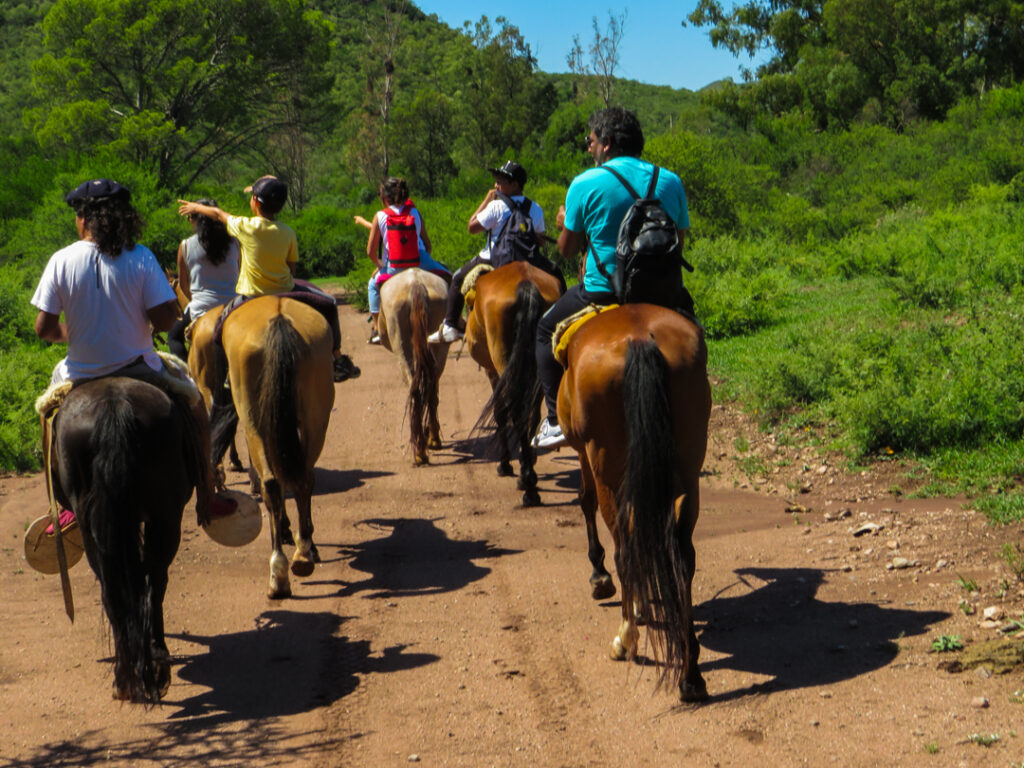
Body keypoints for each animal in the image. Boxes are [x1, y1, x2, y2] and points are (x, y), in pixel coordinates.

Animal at [50, 378, 196, 704]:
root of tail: (113, 407)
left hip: (97, 524)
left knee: (118, 589)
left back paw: (129, 676)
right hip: (163, 515)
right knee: (150, 582)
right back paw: (152, 666)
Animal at [192, 294, 335, 602]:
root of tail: (278, 321)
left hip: (251, 416)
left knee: (272, 482)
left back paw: (279, 573)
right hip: (316, 416)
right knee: (302, 479)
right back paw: (303, 554)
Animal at [376, 268, 448, 466]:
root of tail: (416, 284)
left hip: (401, 340)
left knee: (418, 388)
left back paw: (423, 447)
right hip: (437, 340)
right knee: (427, 387)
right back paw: (428, 444)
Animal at [468, 262, 565, 507]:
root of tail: (526, 284)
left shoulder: (493, 372)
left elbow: (500, 413)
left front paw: (505, 464)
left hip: (503, 361)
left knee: (516, 411)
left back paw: (528, 487)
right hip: (536, 364)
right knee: (529, 414)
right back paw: (528, 476)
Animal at [561, 305, 712, 704]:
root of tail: (640, 339)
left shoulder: (585, 458)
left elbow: (585, 503)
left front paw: (601, 579)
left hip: (608, 472)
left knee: (624, 545)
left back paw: (625, 638)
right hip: (688, 473)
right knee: (682, 554)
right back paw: (690, 673)